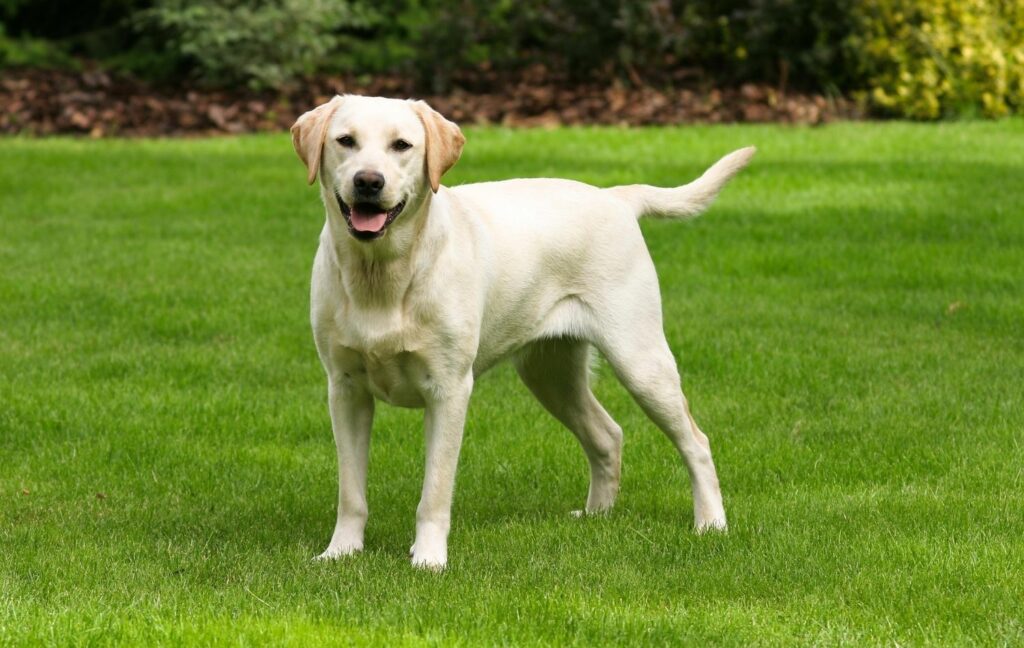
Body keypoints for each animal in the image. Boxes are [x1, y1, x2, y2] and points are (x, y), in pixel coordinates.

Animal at [288, 93, 753, 569]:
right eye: (346, 140)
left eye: (402, 145)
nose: (368, 181)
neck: (382, 274)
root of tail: (616, 197)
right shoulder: (345, 389)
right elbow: (351, 491)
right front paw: (341, 552)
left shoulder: (449, 390)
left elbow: (435, 490)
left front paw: (429, 559)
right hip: (550, 373)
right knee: (608, 435)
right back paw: (596, 516)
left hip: (640, 360)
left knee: (696, 441)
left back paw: (711, 523)